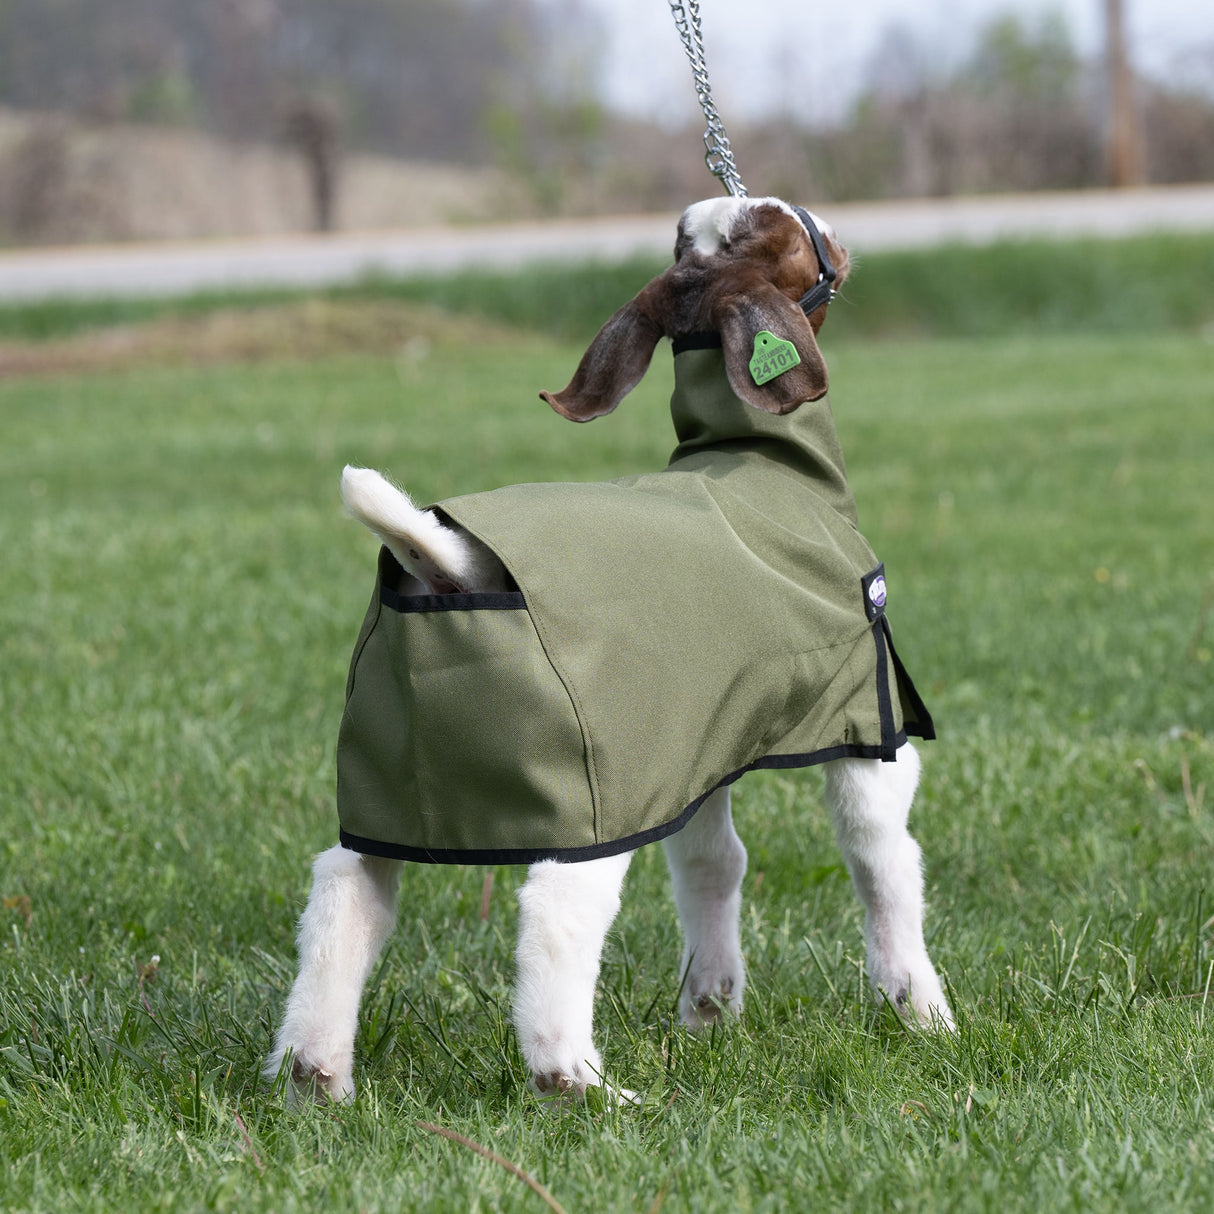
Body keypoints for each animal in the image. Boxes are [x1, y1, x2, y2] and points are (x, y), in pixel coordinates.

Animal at [265, 197, 954, 1105]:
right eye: (781, 228)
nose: (836, 229)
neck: (766, 466)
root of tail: (450, 564)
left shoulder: (699, 748)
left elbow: (711, 864)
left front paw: (709, 1011)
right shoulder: (867, 725)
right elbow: (883, 861)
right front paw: (921, 1010)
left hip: (386, 779)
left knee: (348, 893)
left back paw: (315, 1074)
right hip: (588, 791)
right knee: (558, 910)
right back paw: (578, 1082)